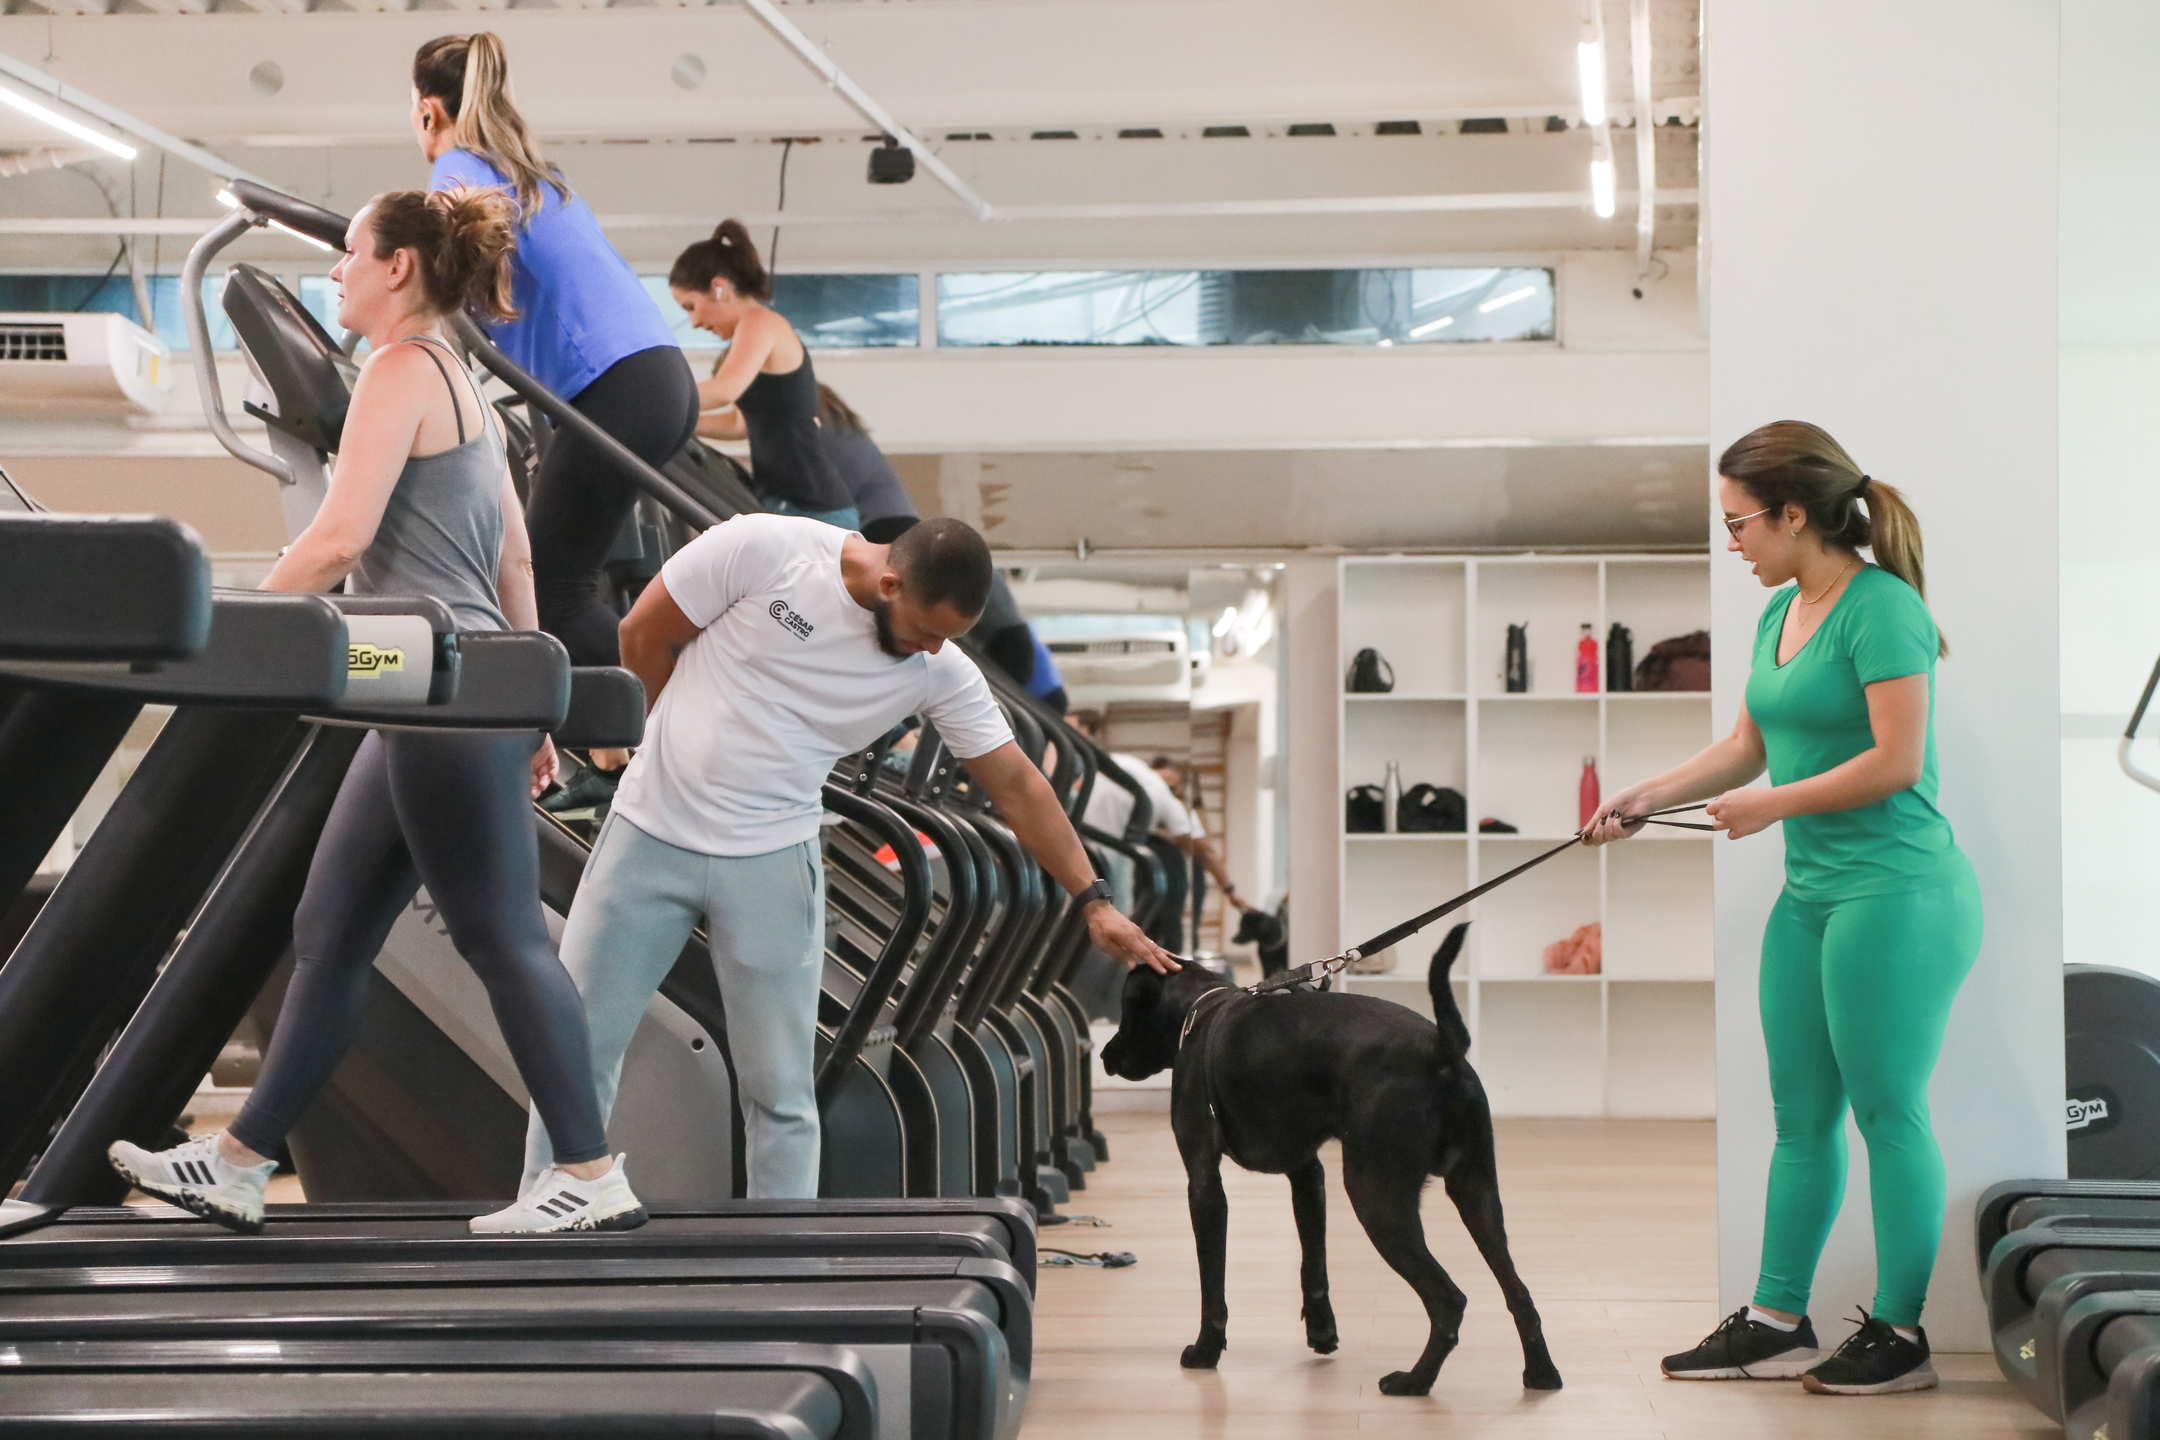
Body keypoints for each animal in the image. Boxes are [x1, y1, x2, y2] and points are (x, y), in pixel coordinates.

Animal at [1105, 924, 1563, 1398]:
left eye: (1125, 1011)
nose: (1104, 1055)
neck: (1201, 1009)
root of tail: (1441, 1049)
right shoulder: (1308, 1173)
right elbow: (1314, 1261)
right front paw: (1322, 1331)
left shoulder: (1203, 1181)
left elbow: (1212, 1281)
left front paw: (1206, 1349)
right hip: (1477, 1193)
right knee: (1519, 1293)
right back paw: (1540, 1373)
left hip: (1375, 1197)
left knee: (1448, 1300)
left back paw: (1415, 1381)